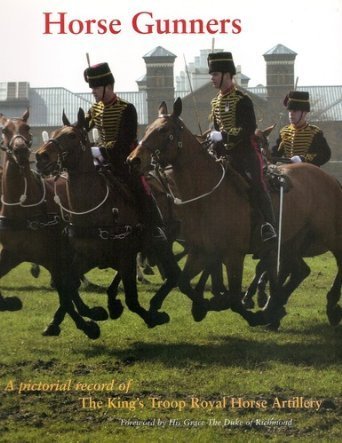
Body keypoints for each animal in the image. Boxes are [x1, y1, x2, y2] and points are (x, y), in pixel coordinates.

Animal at [0, 110, 107, 336]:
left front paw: (86, 321)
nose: (21, 150)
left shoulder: (54, 256)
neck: (23, 208)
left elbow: (64, 290)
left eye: (27, 128)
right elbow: (65, 289)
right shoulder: (12, 253)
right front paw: (10, 302)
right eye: (4, 130)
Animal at [35, 107, 174, 330]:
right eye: (55, 133)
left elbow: (132, 300)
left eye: (72, 135)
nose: (40, 157)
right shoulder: (84, 257)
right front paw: (88, 316)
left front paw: (153, 316)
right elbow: (68, 286)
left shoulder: (125, 255)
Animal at [127, 99, 340, 330]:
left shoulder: (233, 255)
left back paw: (328, 306)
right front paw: (200, 306)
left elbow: (235, 298)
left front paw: (247, 311)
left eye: (164, 130)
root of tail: (330, 178)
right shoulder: (200, 251)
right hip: (290, 243)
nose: (133, 160)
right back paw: (276, 307)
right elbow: (185, 283)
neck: (208, 193)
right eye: (148, 128)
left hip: (328, 236)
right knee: (299, 270)